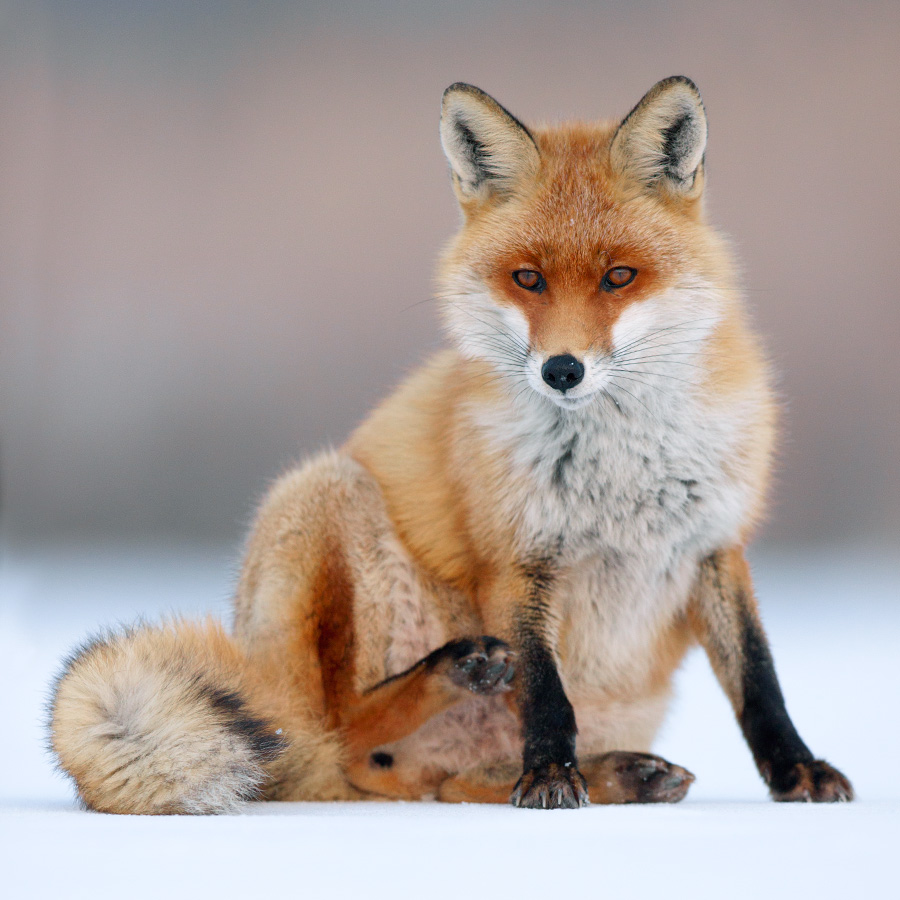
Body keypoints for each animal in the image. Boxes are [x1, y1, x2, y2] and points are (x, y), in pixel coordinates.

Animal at [49, 76, 853, 813]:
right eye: (527, 278)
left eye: (619, 276)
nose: (562, 370)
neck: (618, 464)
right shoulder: (516, 558)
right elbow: (545, 693)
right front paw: (551, 775)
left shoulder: (717, 544)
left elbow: (759, 682)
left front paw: (797, 772)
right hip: (323, 494)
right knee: (350, 735)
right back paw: (460, 679)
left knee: (449, 781)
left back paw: (618, 773)